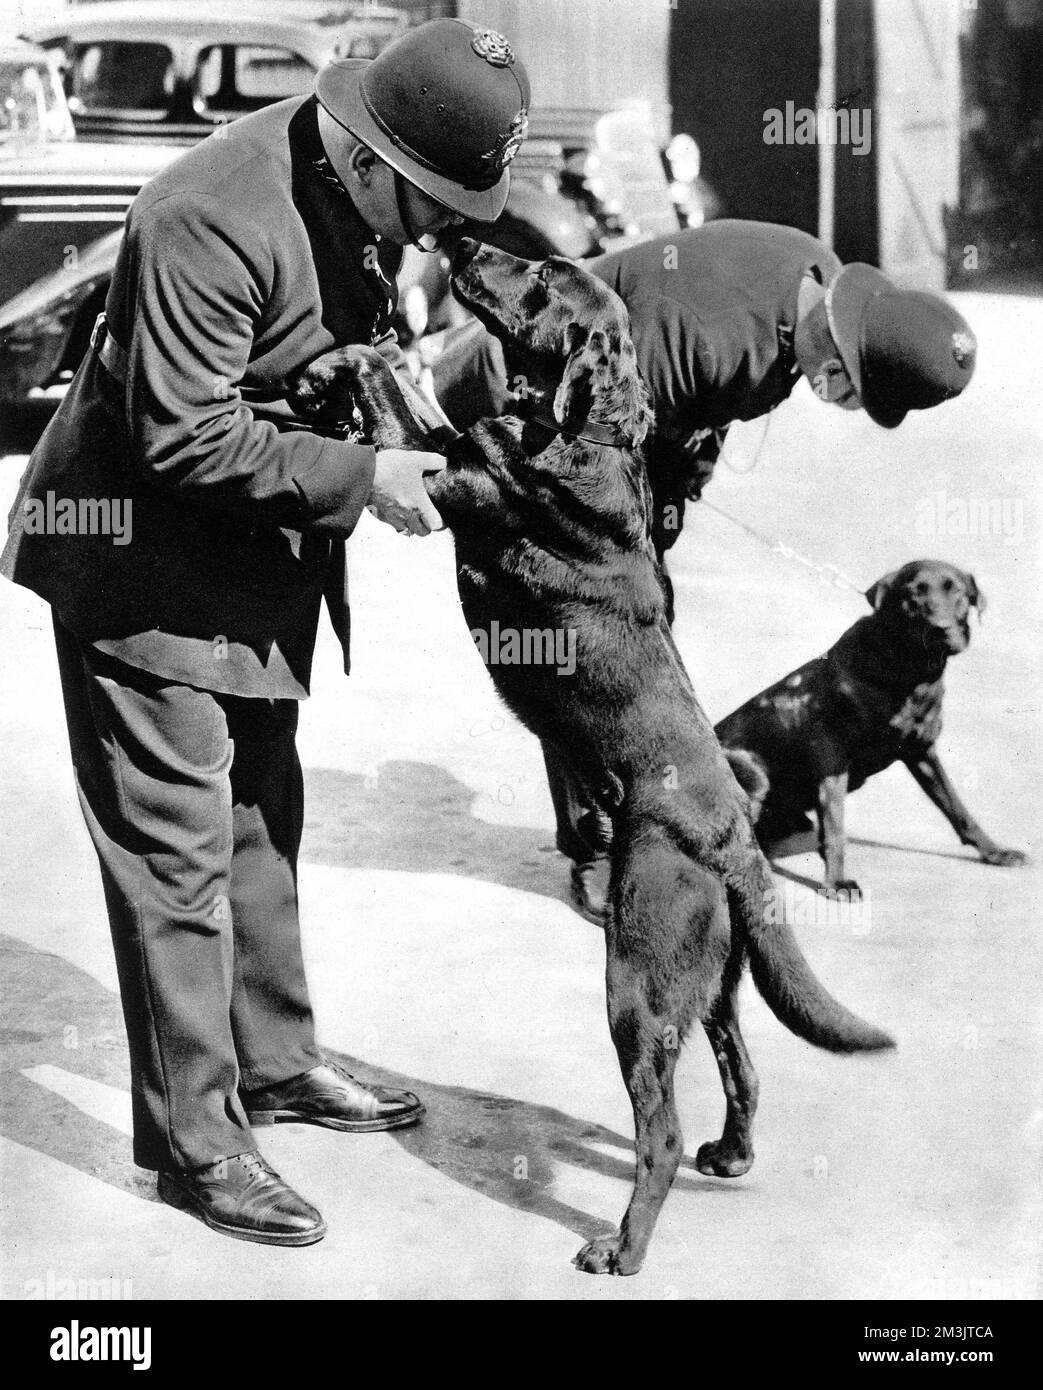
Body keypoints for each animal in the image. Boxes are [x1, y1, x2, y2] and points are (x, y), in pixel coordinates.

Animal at [290, 241, 895, 1278]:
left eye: (539, 275)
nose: (456, 241)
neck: (582, 430)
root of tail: (734, 841)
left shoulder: (448, 477)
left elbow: (395, 393)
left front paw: (348, 358)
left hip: (637, 986)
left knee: (657, 1134)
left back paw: (622, 1247)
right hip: (709, 987)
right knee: (742, 1073)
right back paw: (730, 1157)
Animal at [717, 558, 1029, 895]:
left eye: (956, 590)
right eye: (913, 594)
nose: (941, 628)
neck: (908, 669)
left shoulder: (921, 751)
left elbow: (958, 809)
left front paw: (995, 852)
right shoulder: (831, 758)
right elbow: (835, 825)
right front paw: (837, 882)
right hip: (752, 775)